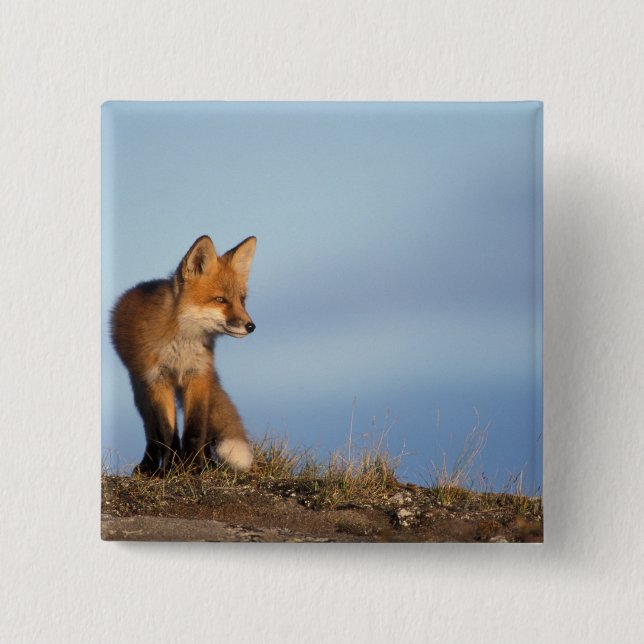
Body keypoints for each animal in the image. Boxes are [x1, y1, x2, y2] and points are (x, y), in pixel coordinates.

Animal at [110, 234, 257, 475]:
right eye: (220, 300)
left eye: (242, 300)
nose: (251, 326)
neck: (181, 346)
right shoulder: (157, 380)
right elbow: (167, 432)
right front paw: (171, 470)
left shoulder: (197, 376)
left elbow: (195, 430)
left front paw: (194, 467)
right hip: (141, 390)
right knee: (152, 432)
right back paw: (150, 466)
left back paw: (207, 463)